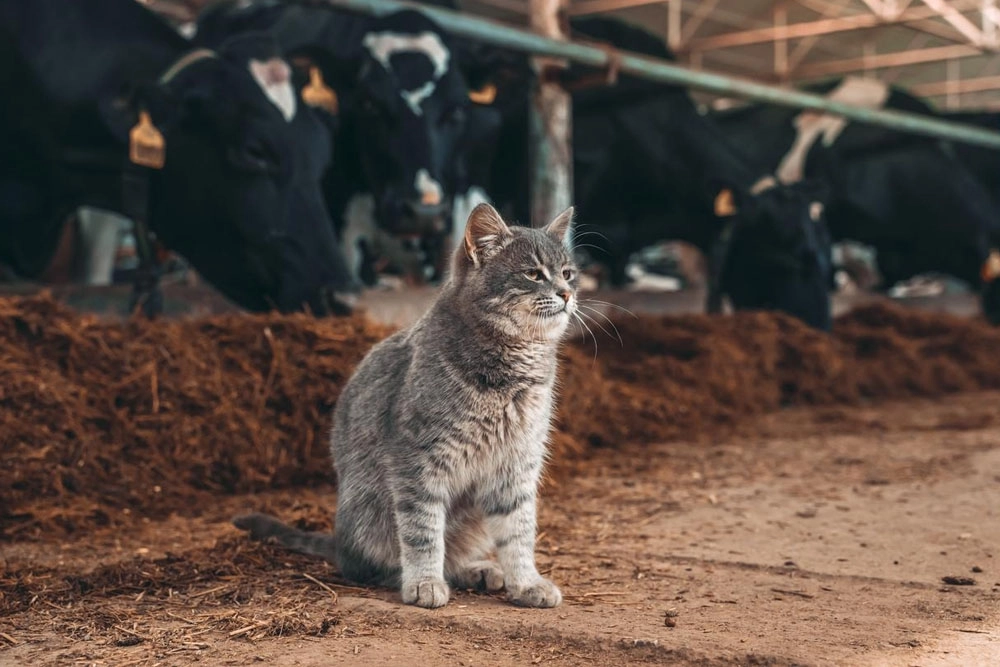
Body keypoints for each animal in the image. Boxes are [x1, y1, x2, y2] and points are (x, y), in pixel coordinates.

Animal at [235, 204, 580, 612]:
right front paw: (424, 583)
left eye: (568, 273)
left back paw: (477, 570)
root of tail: (339, 542)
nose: (567, 294)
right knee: (368, 566)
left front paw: (526, 583)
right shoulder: (418, 460)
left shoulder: (517, 464)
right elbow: (422, 530)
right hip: (368, 516)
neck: (515, 366)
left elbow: (519, 531)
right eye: (533, 273)